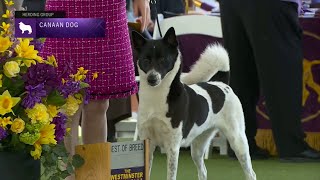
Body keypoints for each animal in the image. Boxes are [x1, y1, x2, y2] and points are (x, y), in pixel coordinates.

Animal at [131, 27, 256, 180]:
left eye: (163, 59)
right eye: (145, 60)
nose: (152, 79)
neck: (156, 98)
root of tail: (221, 84)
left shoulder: (172, 147)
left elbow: (171, 175)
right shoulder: (147, 143)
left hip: (238, 140)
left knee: (250, 173)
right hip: (198, 146)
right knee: (203, 171)